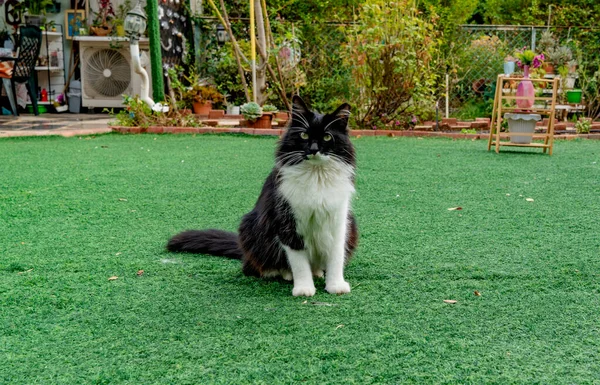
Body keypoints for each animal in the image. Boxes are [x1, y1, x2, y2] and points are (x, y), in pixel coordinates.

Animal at [166, 96, 358, 296]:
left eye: (327, 137)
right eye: (304, 135)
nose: (313, 149)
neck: (316, 176)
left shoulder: (339, 218)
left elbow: (336, 256)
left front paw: (336, 285)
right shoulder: (287, 220)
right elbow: (299, 261)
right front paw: (304, 288)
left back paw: (318, 271)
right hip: (251, 227)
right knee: (258, 267)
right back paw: (285, 274)